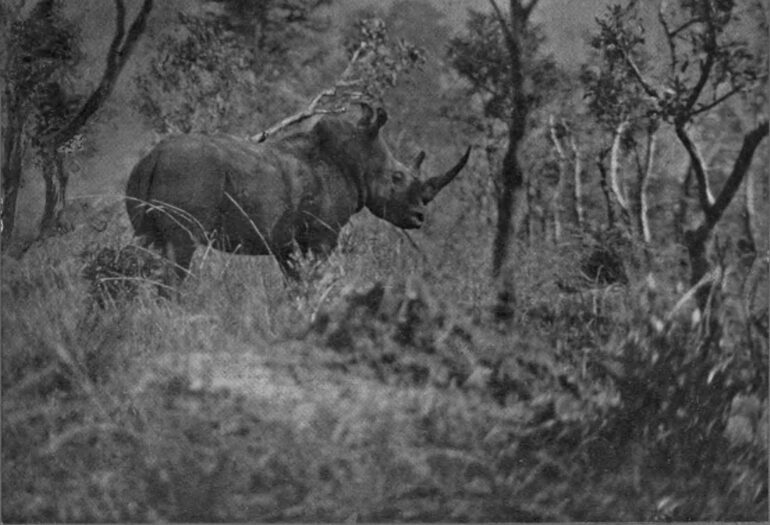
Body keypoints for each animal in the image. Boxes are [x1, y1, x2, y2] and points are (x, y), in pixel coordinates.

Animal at [125, 104, 470, 281]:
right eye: (397, 177)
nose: (420, 217)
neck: (355, 157)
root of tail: (154, 157)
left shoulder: (285, 240)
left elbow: (295, 282)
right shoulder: (322, 234)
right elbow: (314, 276)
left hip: (145, 176)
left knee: (148, 246)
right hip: (190, 172)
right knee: (180, 249)